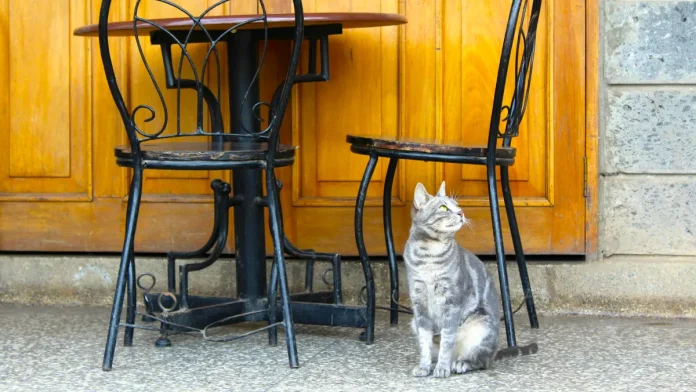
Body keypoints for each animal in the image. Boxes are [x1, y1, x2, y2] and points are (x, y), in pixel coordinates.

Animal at [402, 182, 500, 378]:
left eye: (457, 205)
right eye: (443, 208)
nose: (461, 212)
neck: (429, 255)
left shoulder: (452, 303)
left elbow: (447, 341)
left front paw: (442, 368)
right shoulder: (419, 306)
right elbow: (425, 344)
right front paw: (424, 367)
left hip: (482, 326)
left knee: (481, 361)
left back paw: (460, 364)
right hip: (413, 322)